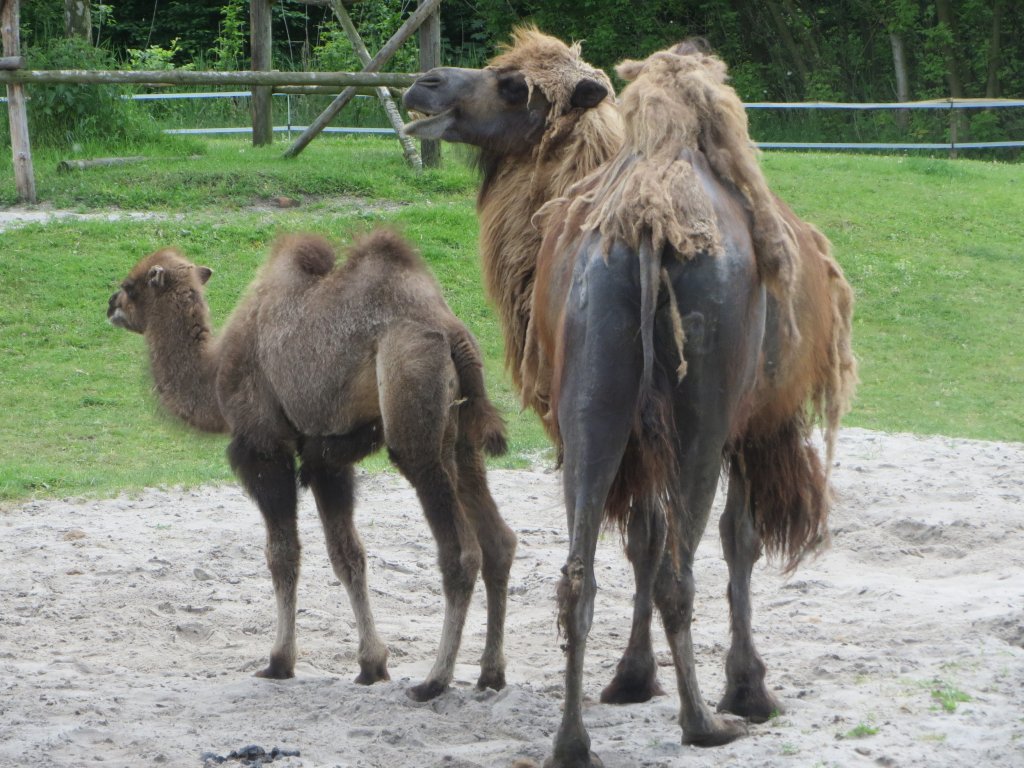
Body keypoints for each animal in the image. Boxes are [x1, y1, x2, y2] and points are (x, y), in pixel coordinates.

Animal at [108, 228, 516, 704]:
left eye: (132, 283)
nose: (110, 303)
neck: (215, 376)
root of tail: (454, 333)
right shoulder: (325, 457)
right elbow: (348, 555)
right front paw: (371, 664)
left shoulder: (265, 447)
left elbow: (282, 554)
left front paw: (279, 661)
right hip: (464, 439)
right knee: (498, 542)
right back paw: (490, 674)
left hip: (416, 419)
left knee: (460, 552)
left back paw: (434, 681)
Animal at [401, 27, 856, 765]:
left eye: (512, 85)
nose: (425, 85)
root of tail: (646, 229)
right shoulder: (746, 427)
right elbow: (737, 541)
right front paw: (748, 688)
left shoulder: (641, 436)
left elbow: (642, 538)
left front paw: (633, 677)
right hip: (702, 413)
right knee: (681, 566)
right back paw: (703, 723)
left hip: (597, 398)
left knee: (579, 571)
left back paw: (571, 740)